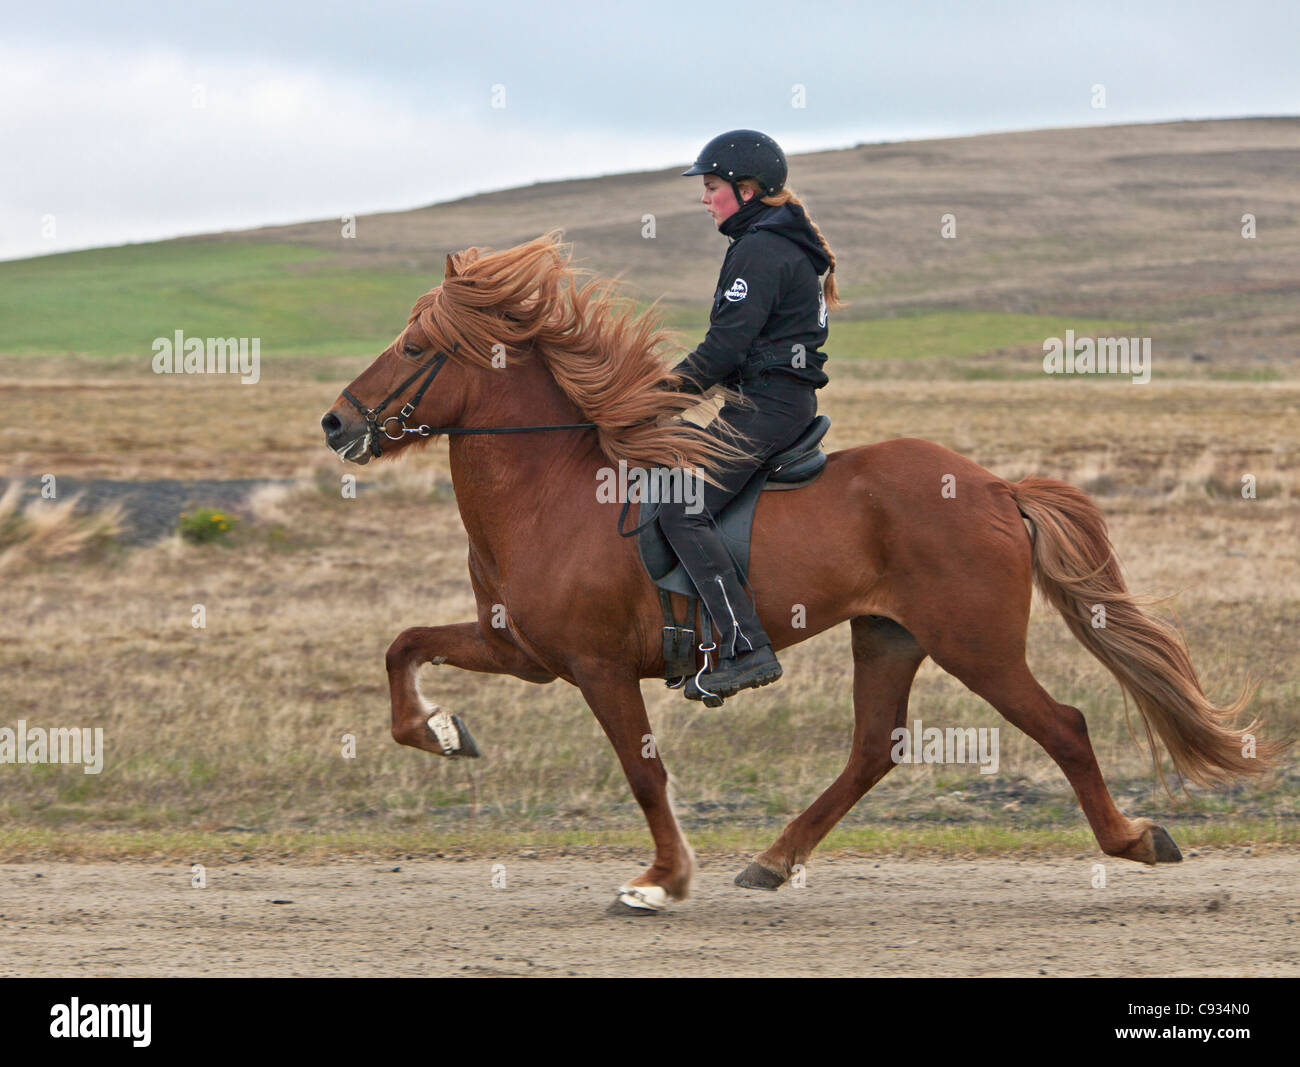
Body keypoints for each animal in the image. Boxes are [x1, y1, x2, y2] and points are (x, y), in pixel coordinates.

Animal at [320, 230, 1283, 913]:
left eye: (415, 347)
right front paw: (444, 732)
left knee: (1066, 727)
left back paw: (1135, 839)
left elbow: (643, 772)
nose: (336, 423)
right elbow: (403, 646)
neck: (551, 490)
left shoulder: (597, 667)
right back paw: (773, 860)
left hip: (975, 644)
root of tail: (993, 485)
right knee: (873, 748)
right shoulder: (522, 650)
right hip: (889, 635)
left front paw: (660, 879)